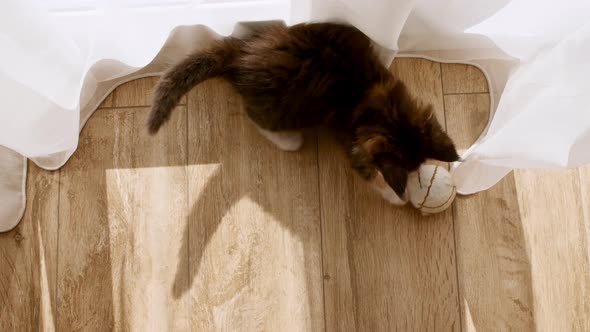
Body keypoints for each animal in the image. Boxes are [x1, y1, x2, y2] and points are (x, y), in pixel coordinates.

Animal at [148, 21, 462, 205]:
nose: (416, 178)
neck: (381, 107)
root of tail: (241, 55)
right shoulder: (352, 140)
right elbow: (367, 172)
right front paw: (400, 195)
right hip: (282, 108)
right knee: (255, 116)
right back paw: (288, 139)